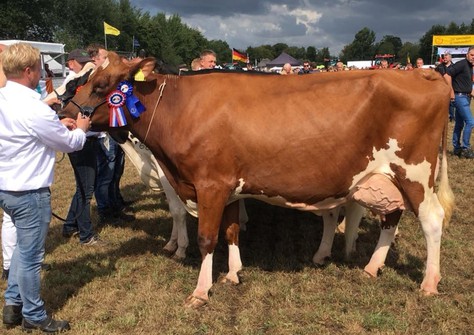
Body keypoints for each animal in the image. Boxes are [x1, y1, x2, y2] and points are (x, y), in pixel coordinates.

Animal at [62, 53, 452, 310]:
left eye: (99, 84)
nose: (64, 112)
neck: (180, 108)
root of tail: (425, 76)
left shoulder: (209, 184)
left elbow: (207, 238)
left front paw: (200, 291)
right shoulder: (229, 187)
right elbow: (232, 231)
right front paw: (234, 274)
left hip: (415, 173)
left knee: (431, 219)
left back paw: (429, 282)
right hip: (384, 178)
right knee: (391, 218)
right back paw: (370, 267)